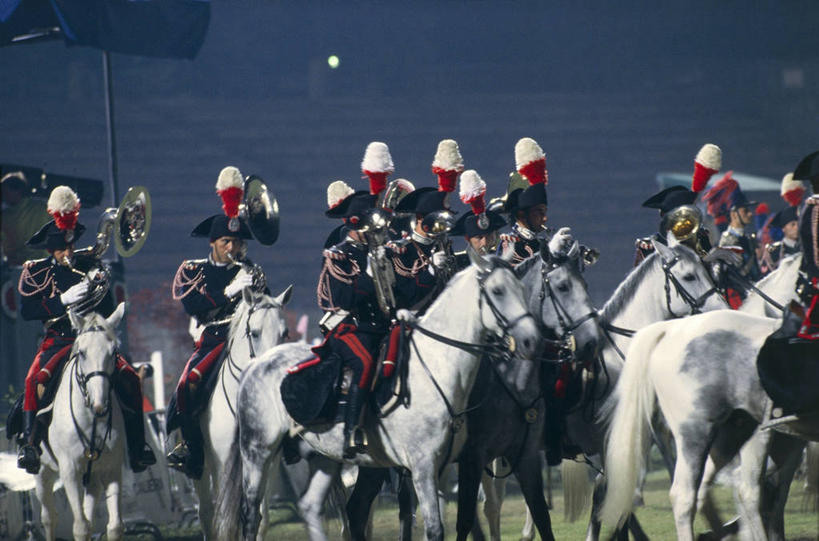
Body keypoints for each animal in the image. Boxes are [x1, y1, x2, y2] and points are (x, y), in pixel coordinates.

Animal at [33, 304, 127, 540]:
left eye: (114, 352)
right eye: (82, 353)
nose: (99, 404)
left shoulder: (112, 469)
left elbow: (114, 526)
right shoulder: (70, 471)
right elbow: (80, 527)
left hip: (91, 476)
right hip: (42, 473)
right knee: (49, 518)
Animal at [193, 284, 294, 536]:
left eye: (285, 333)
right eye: (254, 333)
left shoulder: (266, 462)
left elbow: (257, 518)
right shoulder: (221, 462)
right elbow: (225, 521)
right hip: (201, 469)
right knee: (207, 514)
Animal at [215, 252, 540, 540]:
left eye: (521, 288)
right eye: (497, 290)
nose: (530, 340)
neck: (435, 365)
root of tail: (256, 365)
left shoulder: (448, 466)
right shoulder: (422, 467)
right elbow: (435, 528)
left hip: (324, 457)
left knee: (310, 507)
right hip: (258, 451)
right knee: (252, 514)